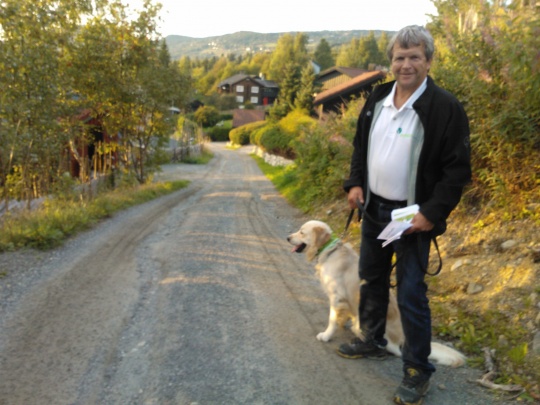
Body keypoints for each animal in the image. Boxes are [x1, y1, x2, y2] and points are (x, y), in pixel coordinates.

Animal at [286, 219, 468, 368]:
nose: (288, 238)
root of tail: (403, 336)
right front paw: (342, 323)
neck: (330, 250)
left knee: (395, 350)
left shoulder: (336, 297)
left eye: (302, 232)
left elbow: (332, 320)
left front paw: (326, 335)